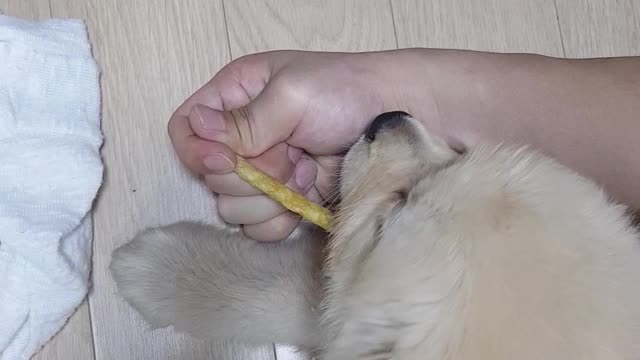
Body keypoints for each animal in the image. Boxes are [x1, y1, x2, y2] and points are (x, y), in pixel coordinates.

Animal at [110, 112, 640, 358]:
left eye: (389, 219)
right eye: (460, 155)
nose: (385, 119)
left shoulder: (352, 314)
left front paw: (147, 267)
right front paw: (154, 265)